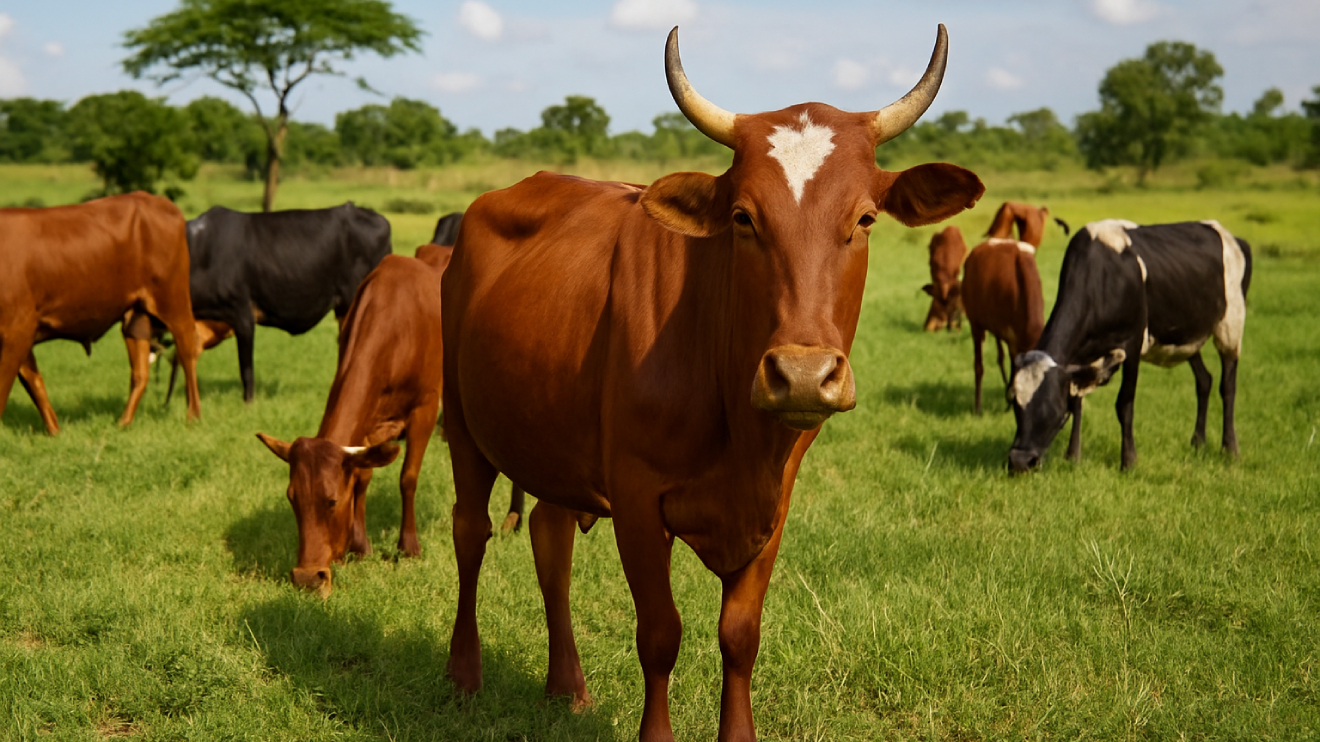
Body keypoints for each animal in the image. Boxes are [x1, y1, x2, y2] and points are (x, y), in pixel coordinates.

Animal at [0, 192, 201, 434]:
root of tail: (151, 198)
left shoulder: (17, 328)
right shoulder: (22, 333)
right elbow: (34, 382)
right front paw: (55, 432)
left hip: (173, 301)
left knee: (187, 349)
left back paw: (193, 416)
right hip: (136, 317)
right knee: (140, 372)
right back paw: (123, 423)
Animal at [441, 25, 983, 742]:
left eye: (865, 219)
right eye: (745, 218)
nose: (802, 376)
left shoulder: (774, 503)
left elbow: (740, 636)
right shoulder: (637, 499)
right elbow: (659, 634)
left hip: (551, 436)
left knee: (549, 539)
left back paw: (568, 687)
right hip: (462, 424)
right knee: (470, 532)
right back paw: (463, 674)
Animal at [1008, 219, 1251, 473]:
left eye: (1054, 408)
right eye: (1015, 403)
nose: (1019, 461)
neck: (1103, 278)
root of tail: (1230, 236)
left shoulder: (1132, 344)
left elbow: (1124, 404)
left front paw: (1129, 461)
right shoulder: (1082, 360)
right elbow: (1077, 401)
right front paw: (1072, 456)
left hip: (1231, 325)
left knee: (1228, 386)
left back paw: (1230, 449)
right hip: (1187, 337)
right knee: (1204, 380)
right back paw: (1198, 442)